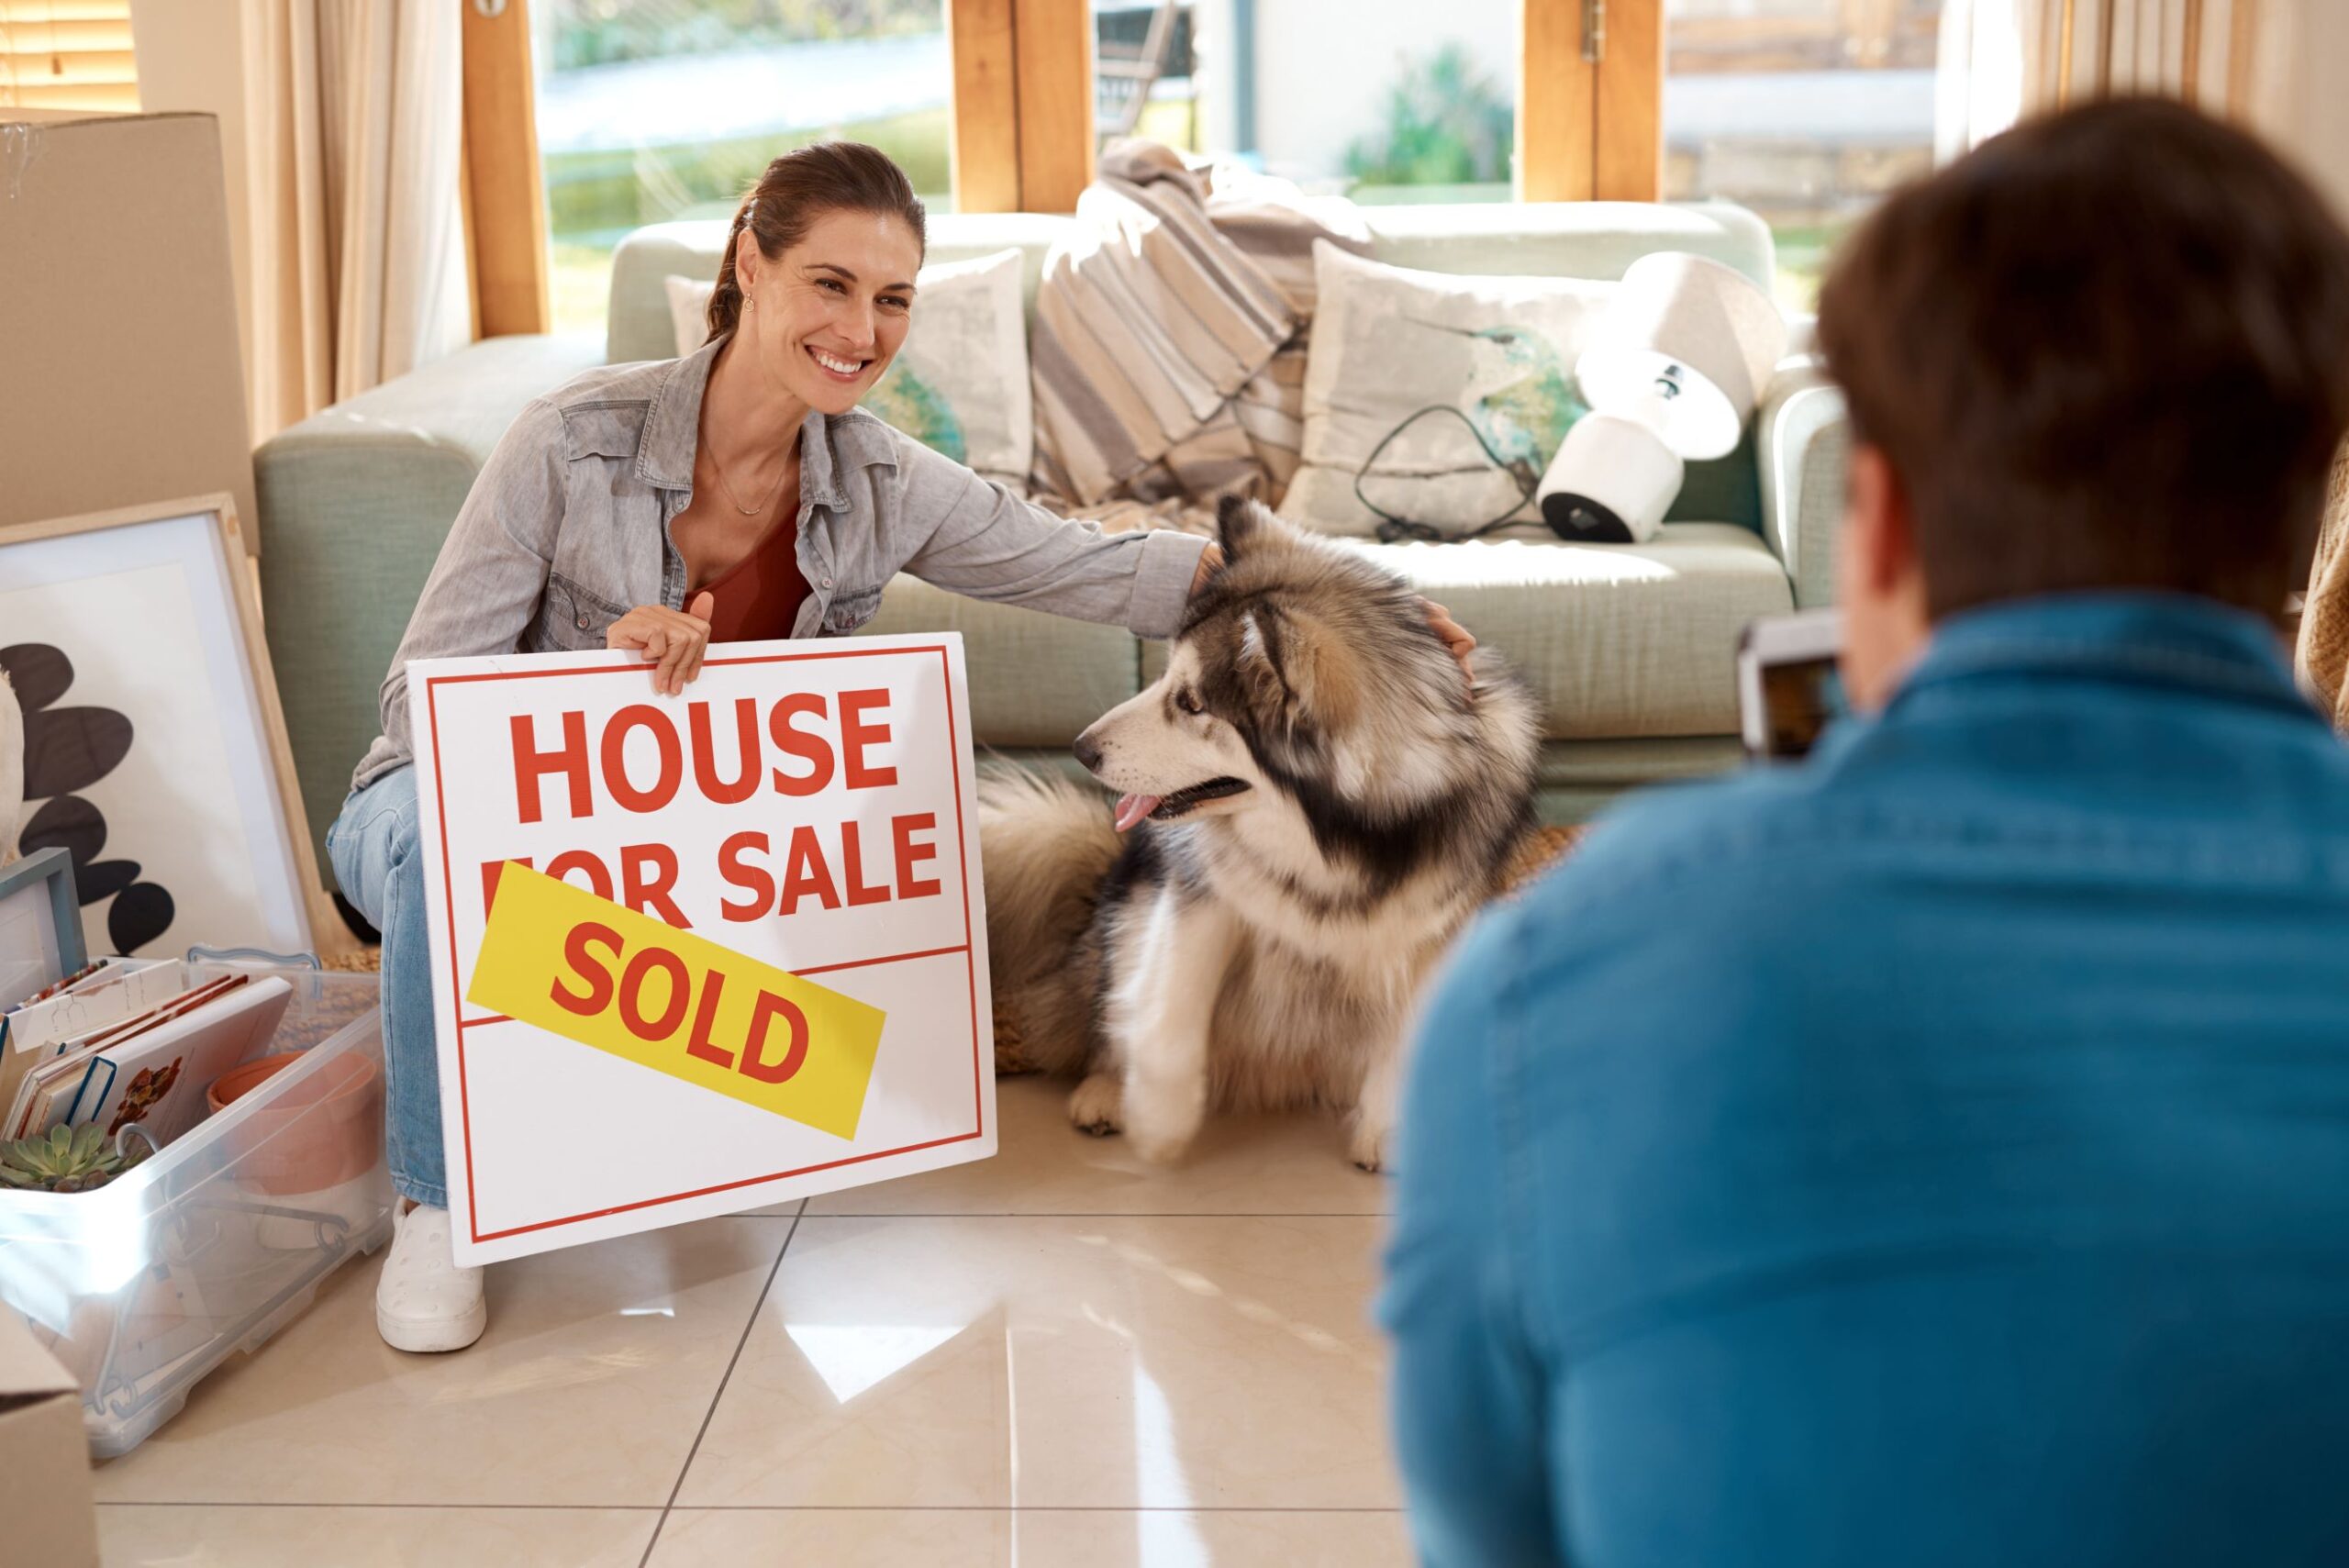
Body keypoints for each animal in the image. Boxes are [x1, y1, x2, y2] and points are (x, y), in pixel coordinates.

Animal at [986, 495, 1550, 1169]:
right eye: (1168, 680)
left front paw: (1392, 1134)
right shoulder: (1199, 893)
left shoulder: (1432, 928)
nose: (1081, 748)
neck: (1336, 847)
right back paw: (1106, 1091)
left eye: (1192, 704)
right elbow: (1168, 1011)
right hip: (1126, 912)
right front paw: (1158, 1118)